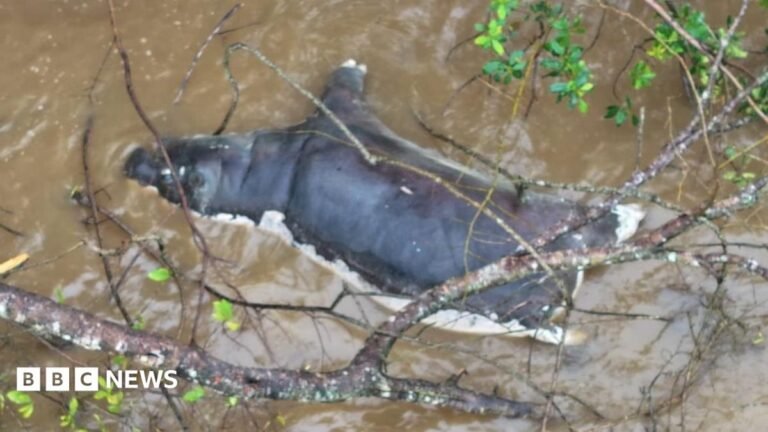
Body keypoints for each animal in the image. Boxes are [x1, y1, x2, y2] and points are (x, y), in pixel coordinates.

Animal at [125, 59, 644, 344]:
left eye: (171, 174)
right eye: (165, 141)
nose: (130, 157)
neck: (276, 160)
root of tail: (574, 249)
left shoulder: (332, 124)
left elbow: (341, 89)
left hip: (515, 302)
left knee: (548, 326)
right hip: (557, 223)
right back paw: (628, 214)